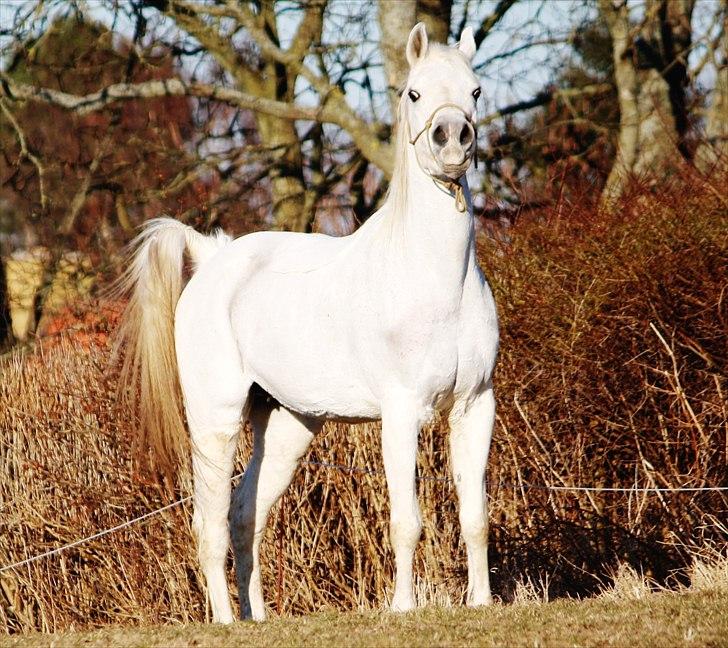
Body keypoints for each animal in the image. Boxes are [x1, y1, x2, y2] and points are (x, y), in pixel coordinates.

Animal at [115, 24, 500, 624]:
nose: (452, 139)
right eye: (413, 93)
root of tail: (212, 257)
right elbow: (407, 522)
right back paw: (225, 621)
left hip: (289, 427)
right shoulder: (401, 413)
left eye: (476, 90)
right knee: (209, 524)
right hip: (214, 421)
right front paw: (402, 609)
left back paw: (257, 618)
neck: (437, 280)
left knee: (244, 515)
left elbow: (475, 516)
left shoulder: (475, 406)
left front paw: (482, 603)